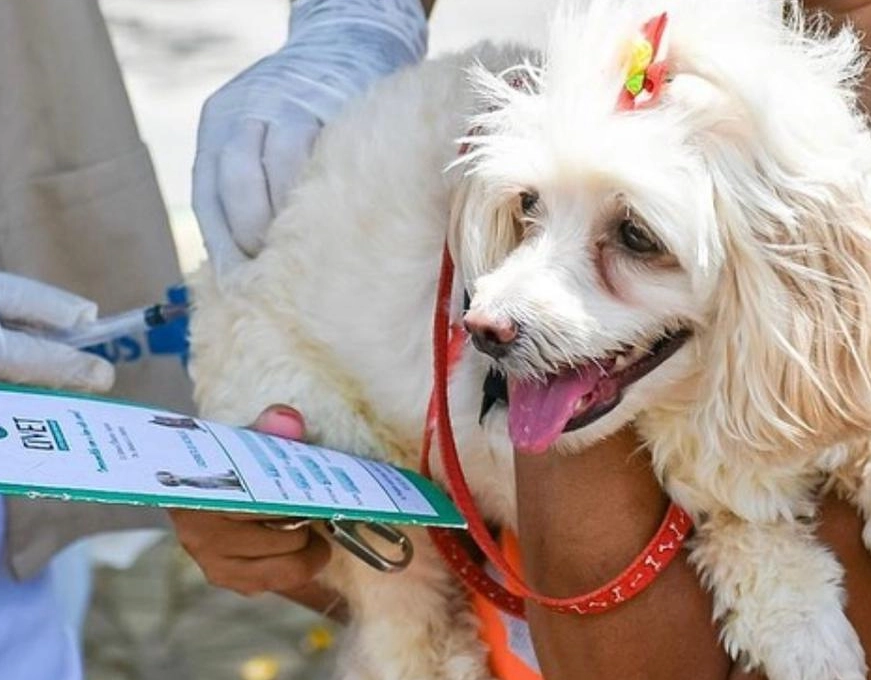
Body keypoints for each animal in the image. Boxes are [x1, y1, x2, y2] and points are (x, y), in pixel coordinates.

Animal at [191, 0, 871, 676]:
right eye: (527, 205)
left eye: (637, 234)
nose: (482, 329)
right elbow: (744, 527)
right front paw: (804, 631)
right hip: (342, 454)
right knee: (400, 620)